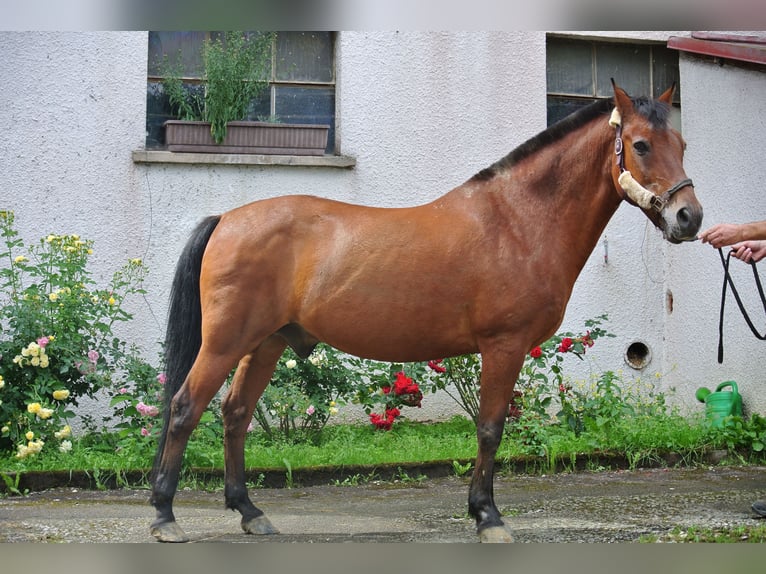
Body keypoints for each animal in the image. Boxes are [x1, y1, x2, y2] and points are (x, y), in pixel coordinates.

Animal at [150, 82, 708, 544]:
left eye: (682, 146)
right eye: (640, 145)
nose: (689, 217)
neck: (519, 221)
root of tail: (227, 219)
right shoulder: (503, 346)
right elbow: (490, 426)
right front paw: (487, 516)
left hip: (265, 343)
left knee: (235, 414)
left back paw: (249, 512)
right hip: (225, 341)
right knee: (184, 408)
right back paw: (164, 516)